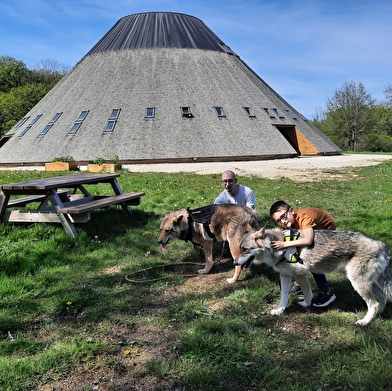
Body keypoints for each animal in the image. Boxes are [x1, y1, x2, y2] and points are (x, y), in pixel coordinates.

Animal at [236, 228, 392, 326]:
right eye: (239, 248)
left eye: (245, 249)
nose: (235, 263)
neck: (279, 247)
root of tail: (381, 244)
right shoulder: (285, 275)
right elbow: (283, 296)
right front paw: (280, 310)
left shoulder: (301, 274)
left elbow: (307, 293)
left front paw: (306, 304)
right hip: (369, 284)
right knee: (383, 298)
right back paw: (378, 315)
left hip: (358, 283)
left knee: (373, 303)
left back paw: (365, 322)